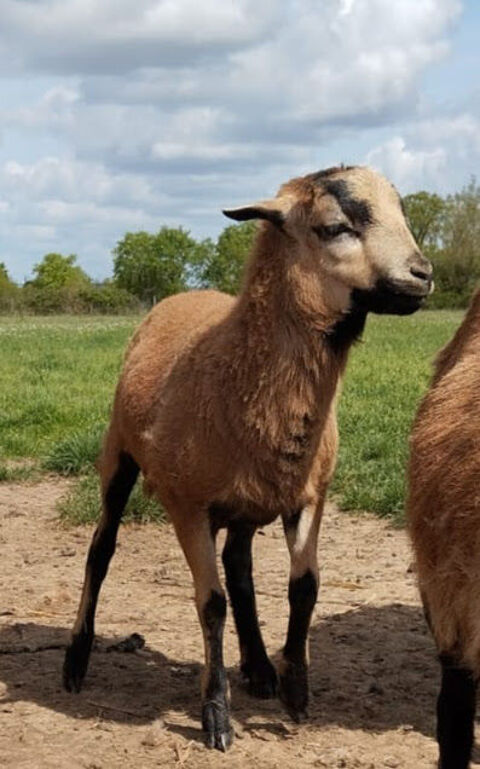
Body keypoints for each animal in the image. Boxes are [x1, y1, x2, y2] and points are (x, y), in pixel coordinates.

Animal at [63, 165, 432, 751]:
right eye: (335, 227)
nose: (423, 274)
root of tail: (183, 295)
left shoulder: (309, 495)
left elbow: (304, 587)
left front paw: (295, 691)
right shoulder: (186, 504)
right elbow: (210, 602)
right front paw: (216, 714)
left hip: (249, 497)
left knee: (238, 565)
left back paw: (259, 667)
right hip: (118, 455)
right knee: (101, 550)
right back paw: (76, 661)